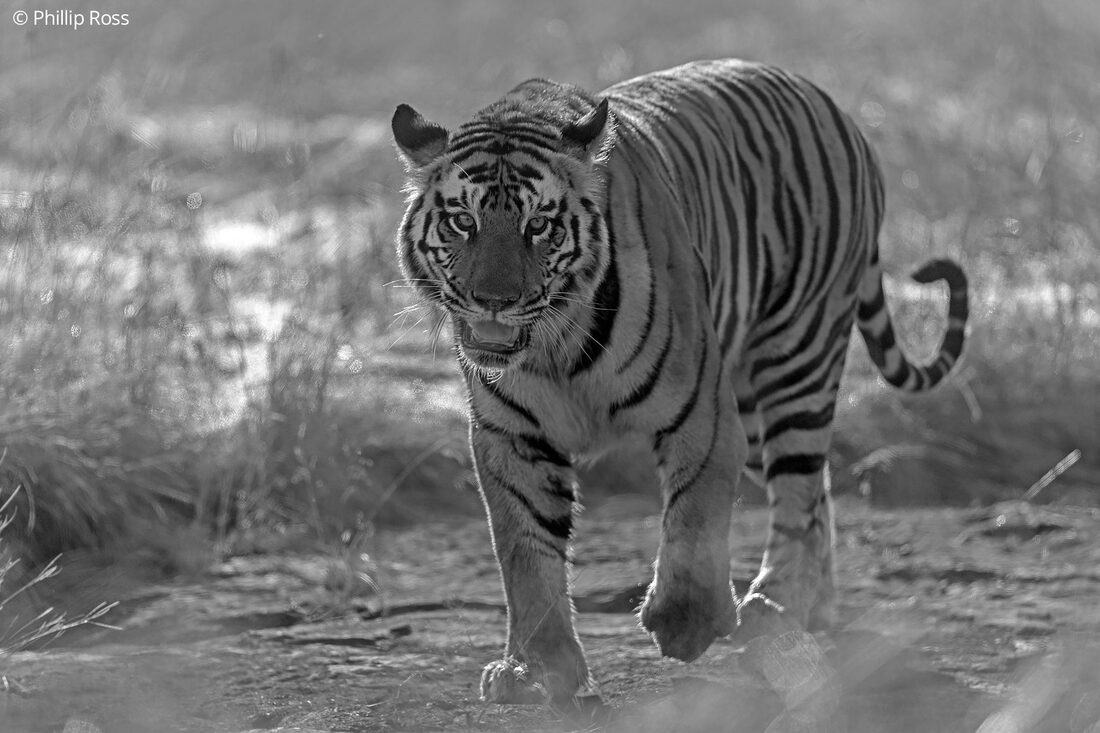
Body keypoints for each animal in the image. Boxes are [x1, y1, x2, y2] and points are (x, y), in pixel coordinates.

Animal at [390, 58, 968, 709]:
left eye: (539, 226)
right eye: (463, 221)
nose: (494, 299)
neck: (555, 348)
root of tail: (832, 104)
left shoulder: (702, 413)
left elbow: (694, 521)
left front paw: (684, 624)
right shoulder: (512, 437)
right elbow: (525, 552)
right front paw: (536, 668)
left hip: (797, 357)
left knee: (798, 488)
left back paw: (774, 604)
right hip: (752, 405)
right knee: (816, 486)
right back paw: (813, 607)